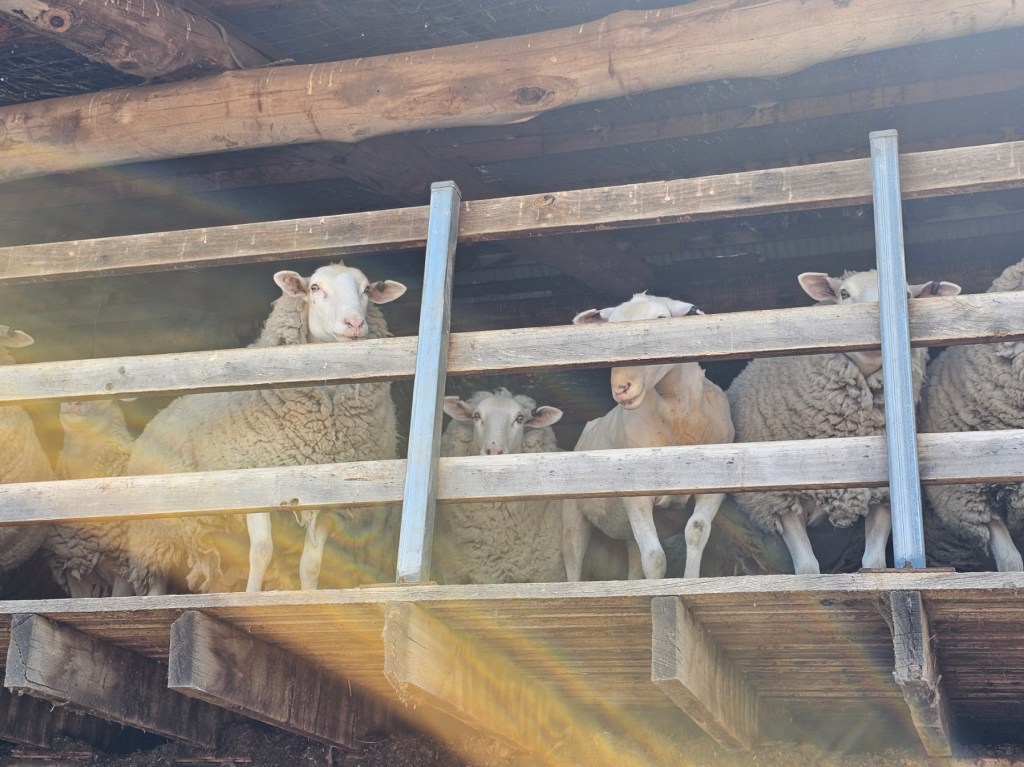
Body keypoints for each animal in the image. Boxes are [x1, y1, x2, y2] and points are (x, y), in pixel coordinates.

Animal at [124, 261, 407, 594]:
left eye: (367, 290)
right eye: (315, 288)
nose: (354, 323)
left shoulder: (329, 500)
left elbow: (312, 564)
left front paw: (310, 597)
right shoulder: (255, 484)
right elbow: (261, 551)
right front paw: (251, 596)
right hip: (155, 525)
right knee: (156, 573)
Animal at [561, 293, 735, 580]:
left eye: (661, 319)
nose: (621, 387)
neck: (678, 419)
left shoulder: (716, 486)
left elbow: (697, 531)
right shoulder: (636, 493)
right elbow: (654, 558)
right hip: (573, 510)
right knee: (572, 558)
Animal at [726, 270, 961, 575]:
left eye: (907, 296)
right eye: (844, 294)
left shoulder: (882, 496)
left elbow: (873, 562)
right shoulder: (781, 498)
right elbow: (807, 568)